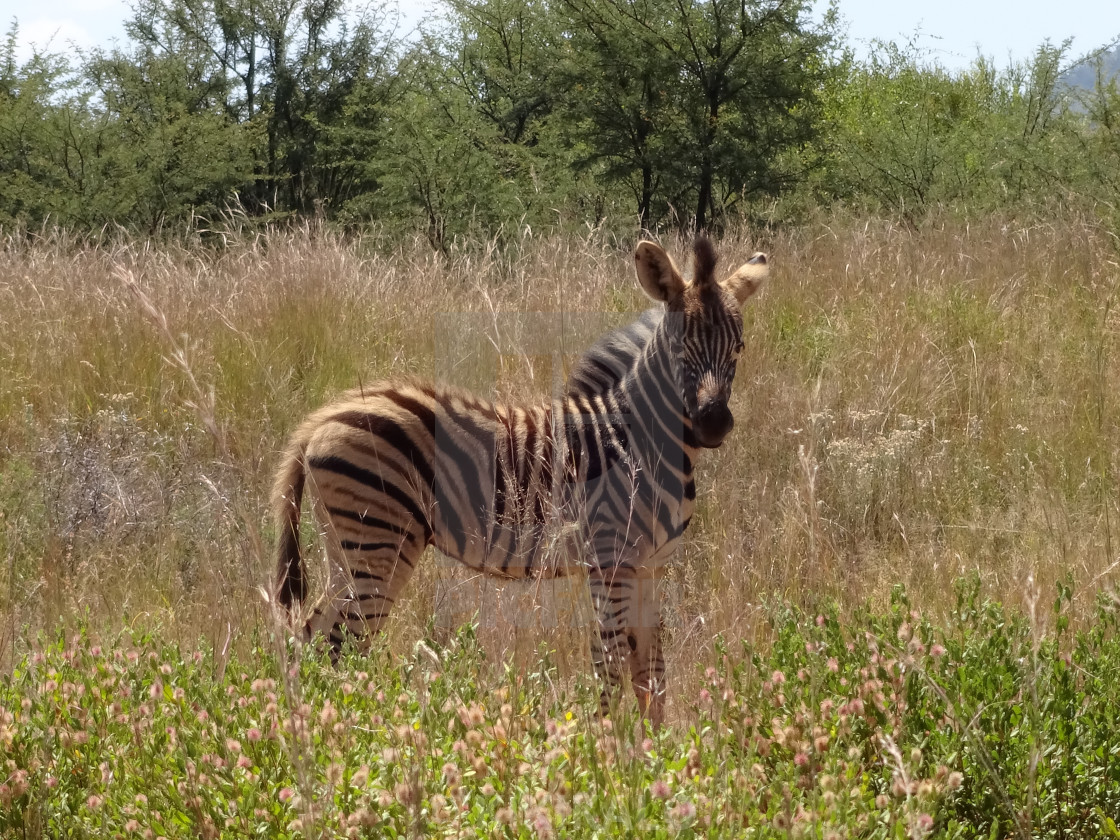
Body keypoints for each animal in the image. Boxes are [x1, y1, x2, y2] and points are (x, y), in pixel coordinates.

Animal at [272, 234, 766, 725]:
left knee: (310, 640)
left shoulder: (652, 566)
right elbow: (609, 664)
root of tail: (321, 419)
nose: (713, 424)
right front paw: (602, 740)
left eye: (739, 347)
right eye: (681, 346)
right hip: (377, 544)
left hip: (348, 551)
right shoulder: (611, 560)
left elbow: (651, 673)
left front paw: (654, 744)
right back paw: (345, 729)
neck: (640, 439)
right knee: (341, 646)